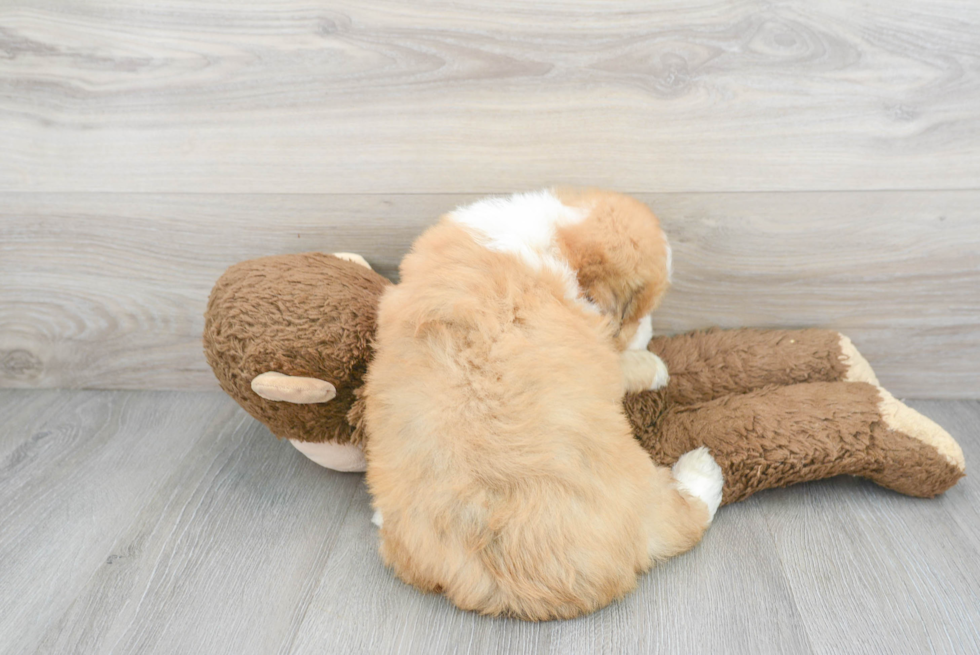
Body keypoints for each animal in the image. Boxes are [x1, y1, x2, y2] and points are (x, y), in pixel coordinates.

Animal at [364, 188, 724, 620]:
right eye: (637, 313)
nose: (651, 330)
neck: (557, 238)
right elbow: (625, 365)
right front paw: (654, 365)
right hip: (644, 490)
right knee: (686, 516)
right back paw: (703, 469)